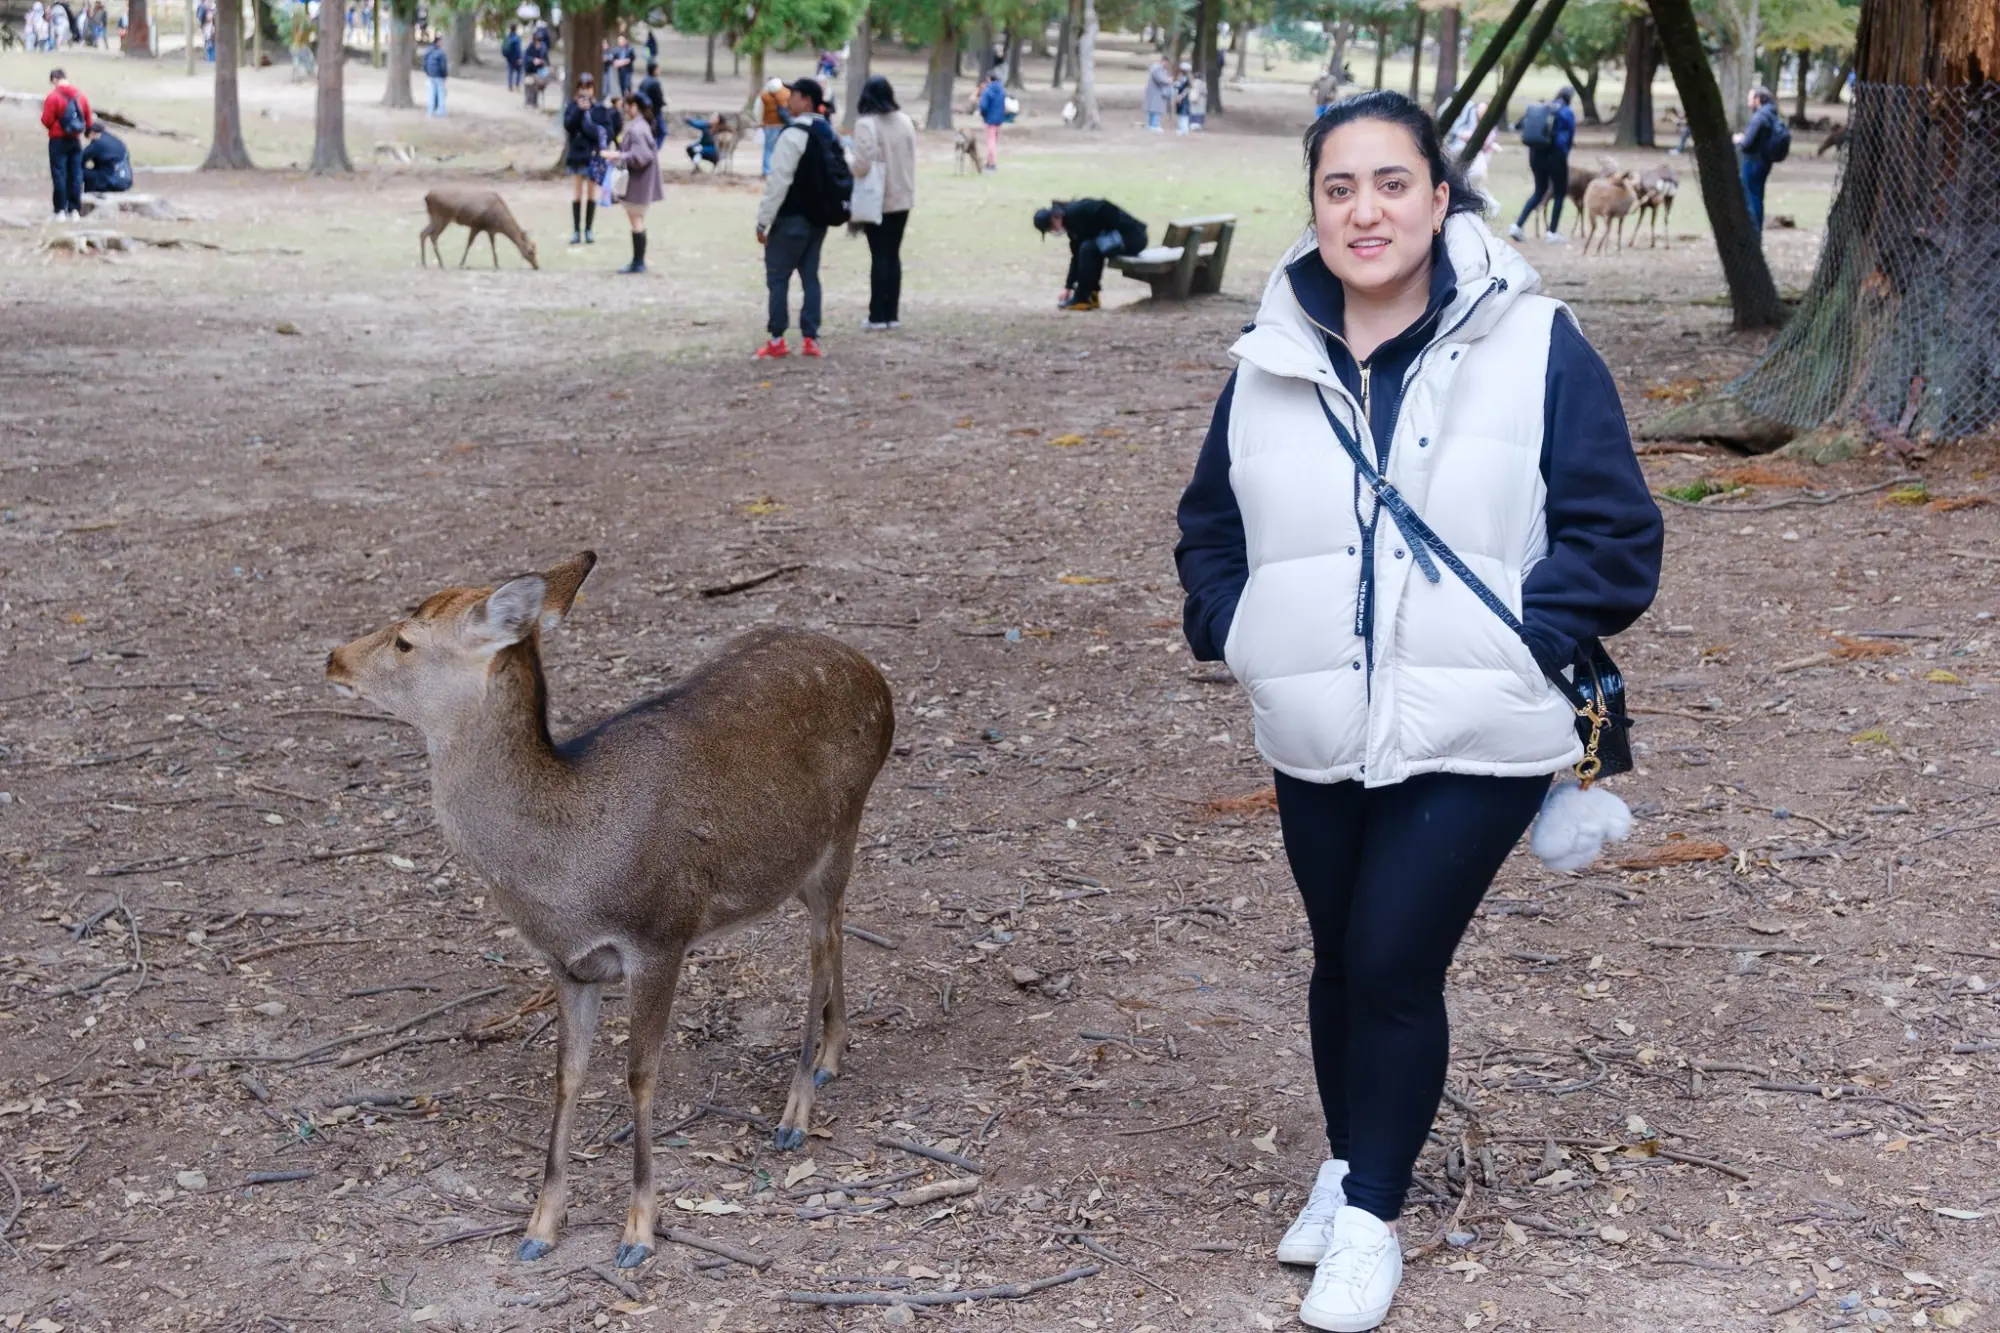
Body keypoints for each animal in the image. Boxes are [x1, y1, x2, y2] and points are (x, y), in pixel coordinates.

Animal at [324, 552, 894, 1269]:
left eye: (404, 640)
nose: (334, 657)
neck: (568, 874)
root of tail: (874, 674)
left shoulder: (660, 936)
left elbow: (639, 1074)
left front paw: (638, 1230)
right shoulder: (568, 963)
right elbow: (567, 1076)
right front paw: (540, 1226)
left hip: (841, 828)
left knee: (822, 947)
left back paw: (796, 1111)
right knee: (841, 928)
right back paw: (831, 1052)